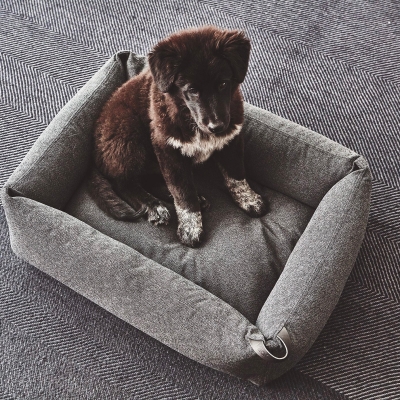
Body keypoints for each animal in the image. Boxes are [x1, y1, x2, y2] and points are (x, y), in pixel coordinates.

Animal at [89, 26, 268, 247]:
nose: (216, 127)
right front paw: (191, 228)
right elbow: (183, 192)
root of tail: (94, 155)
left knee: (149, 179)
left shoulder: (231, 139)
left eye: (223, 84)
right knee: (123, 183)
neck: (188, 116)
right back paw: (154, 206)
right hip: (127, 135)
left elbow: (236, 174)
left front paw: (249, 199)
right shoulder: (167, 149)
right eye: (192, 90)